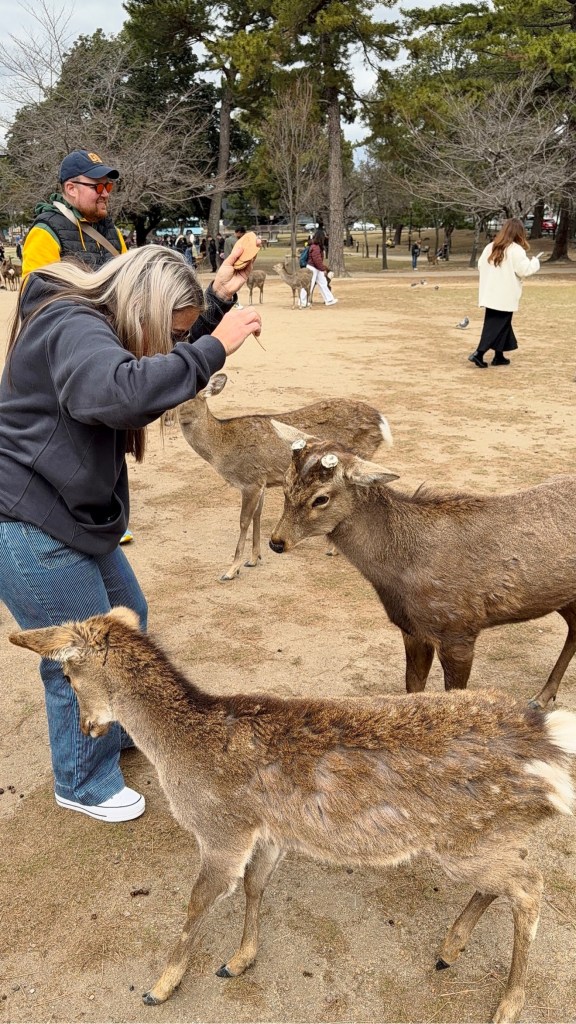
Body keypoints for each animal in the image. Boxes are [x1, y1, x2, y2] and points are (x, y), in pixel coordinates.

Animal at [10, 606, 576, 1022]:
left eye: (66, 673)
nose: (89, 728)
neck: (182, 751)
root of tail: (548, 743)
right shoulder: (270, 831)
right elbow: (256, 886)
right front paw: (238, 961)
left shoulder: (221, 829)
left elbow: (197, 903)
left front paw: (159, 987)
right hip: (485, 837)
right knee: (512, 876)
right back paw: (450, 948)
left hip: (467, 840)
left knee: (530, 886)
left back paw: (507, 1004)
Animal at [177, 373, 392, 580]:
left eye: (188, 395)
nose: (171, 416)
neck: (220, 450)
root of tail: (381, 421)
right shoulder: (262, 481)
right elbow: (257, 515)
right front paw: (253, 559)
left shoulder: (250, 480)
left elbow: (244, 521)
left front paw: (231, 570)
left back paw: (334, 549)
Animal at [269, 426, 576, 709]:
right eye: (285, 484)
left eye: (321, 498)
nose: (276, 542)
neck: (401, 575)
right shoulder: (411, 630)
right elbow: (413, 687)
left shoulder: (459, 629)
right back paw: (543, 696)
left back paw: (541, 697)